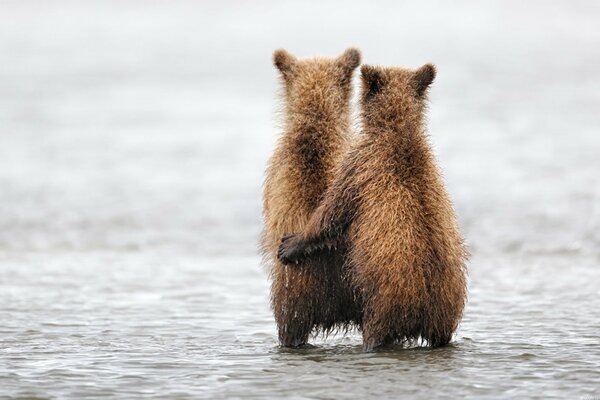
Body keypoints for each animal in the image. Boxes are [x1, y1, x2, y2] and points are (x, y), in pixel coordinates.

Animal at [278, 62, 468, 350]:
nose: (286, 246)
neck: (396, 129)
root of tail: (427, 306)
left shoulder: (359, 165)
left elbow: (333, 212)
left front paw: (290, 244)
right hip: (445, 312)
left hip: (385, 302)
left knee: (375, 332)